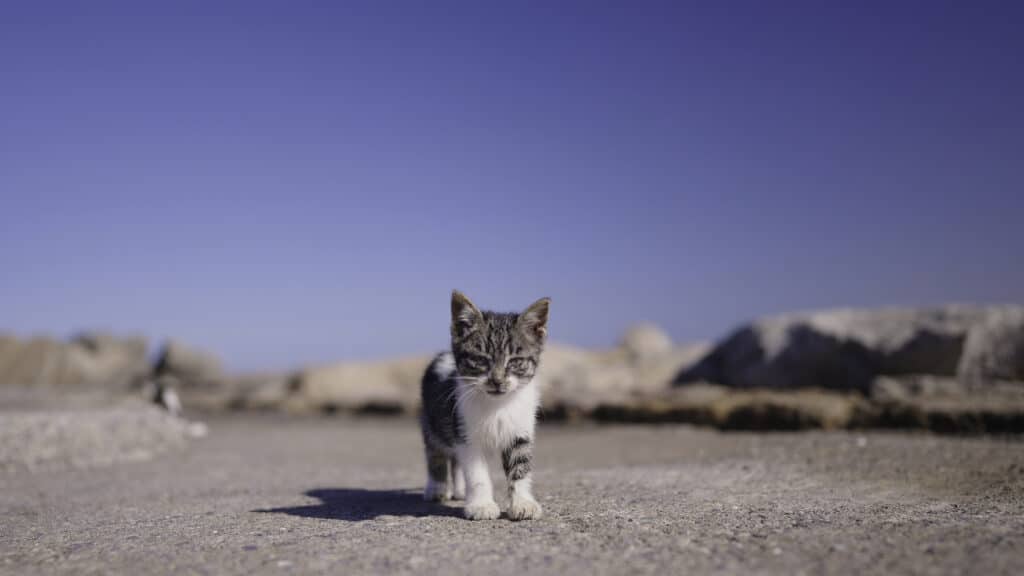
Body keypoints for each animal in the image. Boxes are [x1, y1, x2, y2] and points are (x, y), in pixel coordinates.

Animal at [417, 289, 552, 518]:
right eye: (481, 360)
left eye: (515, 361)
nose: (497, 381)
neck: (497, 405)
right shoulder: (466, 433)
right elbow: (476, 473)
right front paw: (481, 505)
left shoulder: (520, 430)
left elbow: (520, 466)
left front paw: (522, 503)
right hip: (432, 421)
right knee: (436, 453)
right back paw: (437, 488)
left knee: (455, 461)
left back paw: (460, 491)